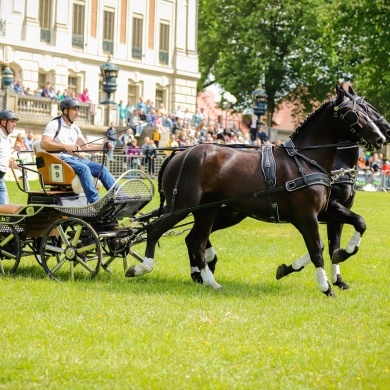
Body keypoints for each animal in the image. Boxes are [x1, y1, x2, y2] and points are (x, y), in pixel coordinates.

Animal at [127, 84, 384, 296]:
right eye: (355, 113)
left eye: (367, 109)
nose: (381, 137)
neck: (305, 160)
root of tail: (179, 153)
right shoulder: (307, 216)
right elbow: (318, 249)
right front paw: (326, 287)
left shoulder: (327, 212)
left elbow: (351, 229)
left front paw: (334, 267)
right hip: (183, 206)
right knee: (156, 229)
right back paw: (143, 267)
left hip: (208, 211)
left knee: (196, 241)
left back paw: (209, 280)